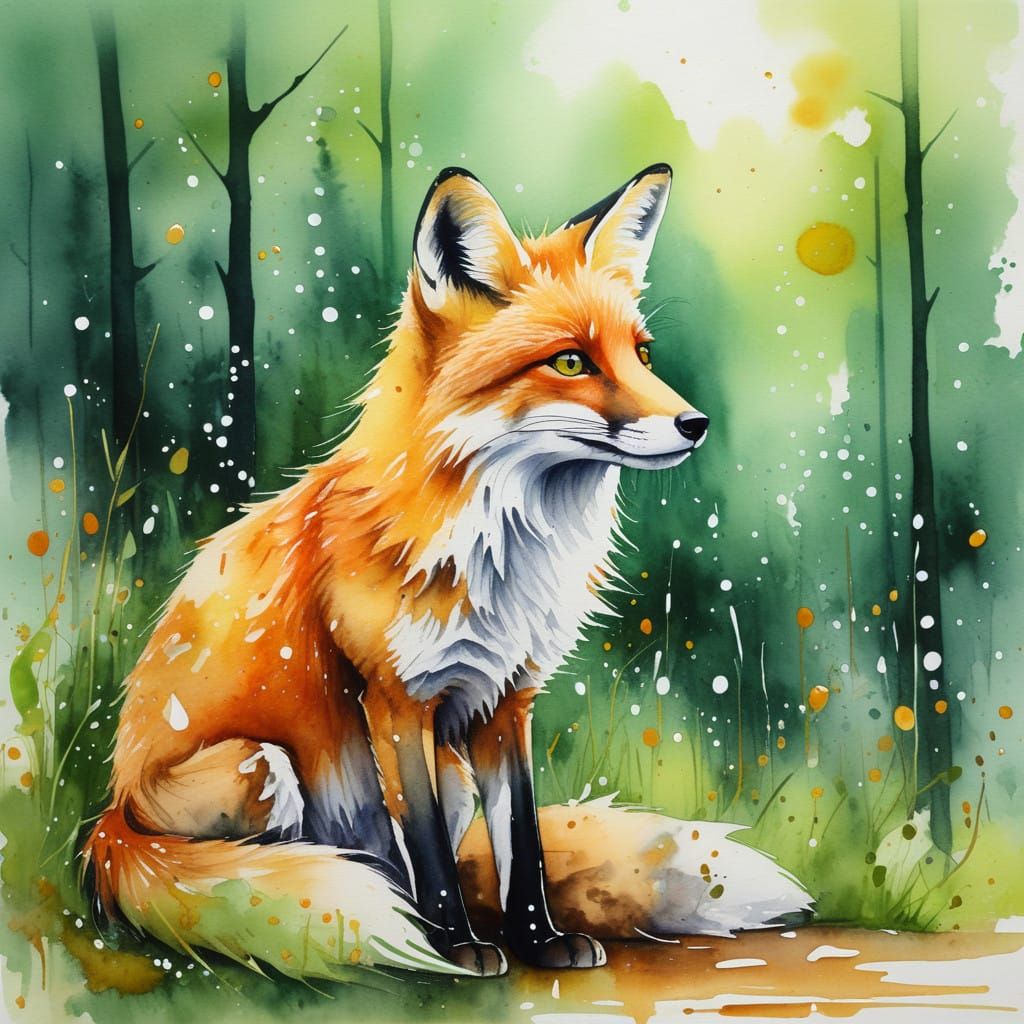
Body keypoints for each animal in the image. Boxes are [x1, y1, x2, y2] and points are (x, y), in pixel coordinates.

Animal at [84, 164, 810, 980]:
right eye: (570, 361)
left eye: (642, 355)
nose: (696, 424)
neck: (503, 553)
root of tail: (109, 822)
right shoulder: (397, 700)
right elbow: (430, 847)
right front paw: (456, 947)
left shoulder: (509, 699)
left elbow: (521, 844)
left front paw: (539, 942)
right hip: (260, 765)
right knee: (285, 862)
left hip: (447, 770)